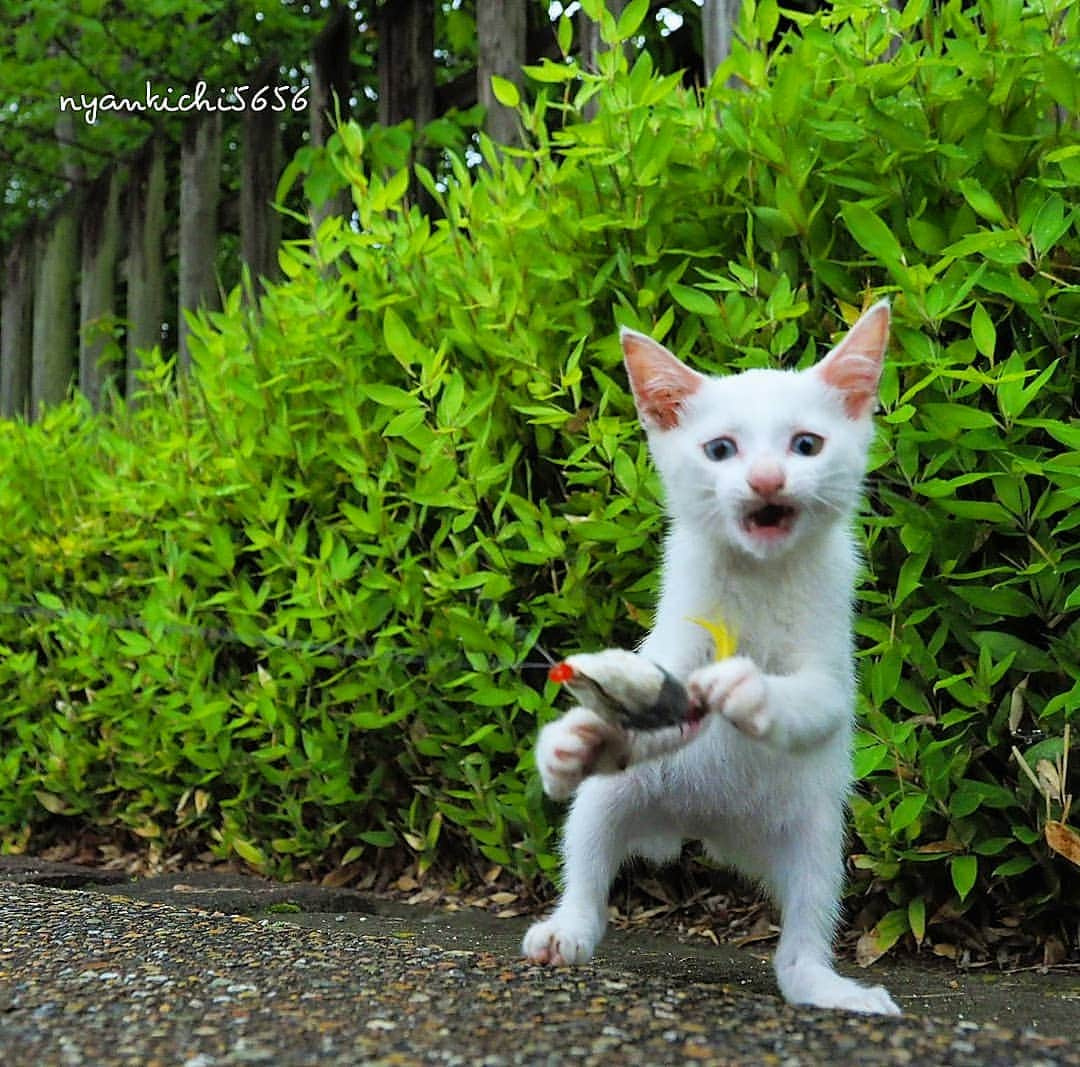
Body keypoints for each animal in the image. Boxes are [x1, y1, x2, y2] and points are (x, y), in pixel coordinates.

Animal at [522, 302, 902, 1015]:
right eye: (720, 449)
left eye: (806, 445)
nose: (766, 480)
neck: (758, 574)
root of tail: (710, 829)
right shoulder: (675, 636)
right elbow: (655, 694)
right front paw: (573, 739)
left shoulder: (832, 656)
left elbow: (814, 698)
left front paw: (753, 691)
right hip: (618, 794)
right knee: (588, 851)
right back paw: (568, 927)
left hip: (815, 832)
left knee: (805, 925)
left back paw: (826, 985)